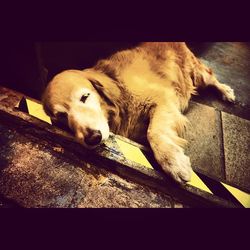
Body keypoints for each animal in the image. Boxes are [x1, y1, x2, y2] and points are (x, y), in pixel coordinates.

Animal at [42, 42, 235, 184]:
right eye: (61, 116)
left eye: (84, 97)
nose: (93, 138)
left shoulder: (162, 97)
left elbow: (154, 132)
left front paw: (173, 162)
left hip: (197, 74)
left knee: (211, 76)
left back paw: (226, 92)